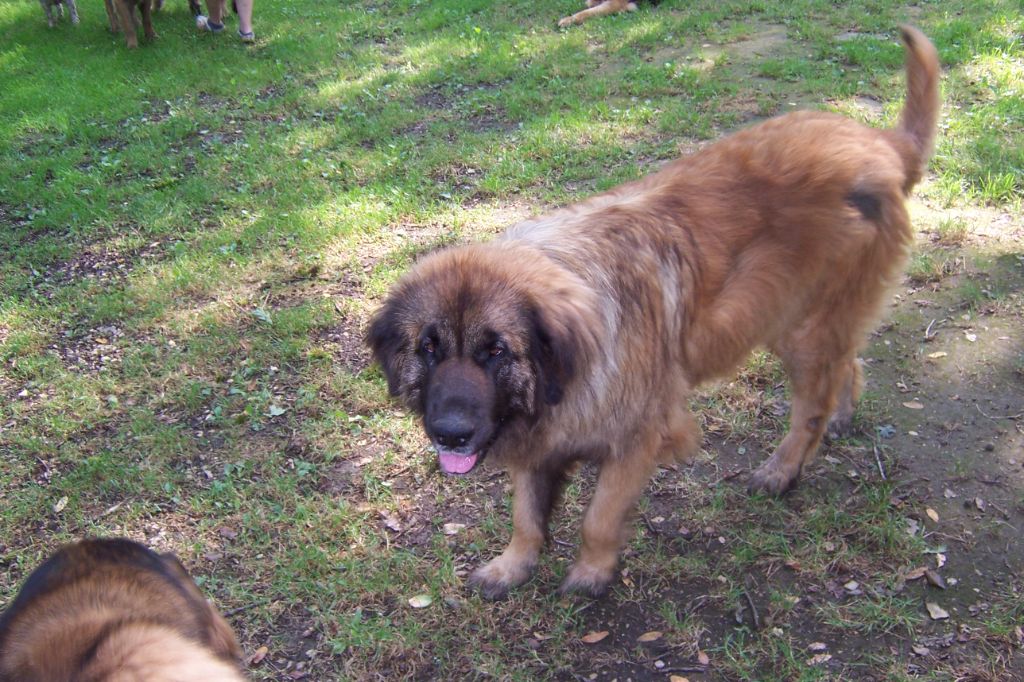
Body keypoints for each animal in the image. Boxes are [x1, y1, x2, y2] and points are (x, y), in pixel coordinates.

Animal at [372, 26, 937, 593]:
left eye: (495, 351)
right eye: (428, 347)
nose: (449, 433)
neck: (578, 361)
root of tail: (879, 143)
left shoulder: (637, 437)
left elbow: (599, 517)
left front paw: (591, 572)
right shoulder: (542, 436)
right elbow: (526, 514)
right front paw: (512, 565)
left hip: (803, 330)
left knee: (810, 408)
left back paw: (784, 468)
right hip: (792, 316)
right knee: (847, 360)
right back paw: (843, 413)